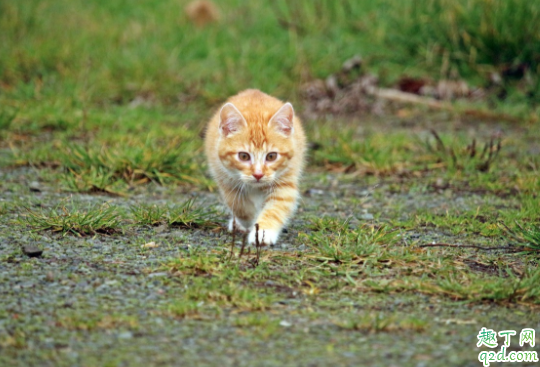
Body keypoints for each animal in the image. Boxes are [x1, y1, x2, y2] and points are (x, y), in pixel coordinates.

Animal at [205, 88, 306, 247]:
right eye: (243, 156)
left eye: (271, 156)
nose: (258, 174)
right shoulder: (224, 177)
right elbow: (238, 205)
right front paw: (249, 222)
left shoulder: (285, 181)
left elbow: (276, 208)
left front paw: (263, 232)